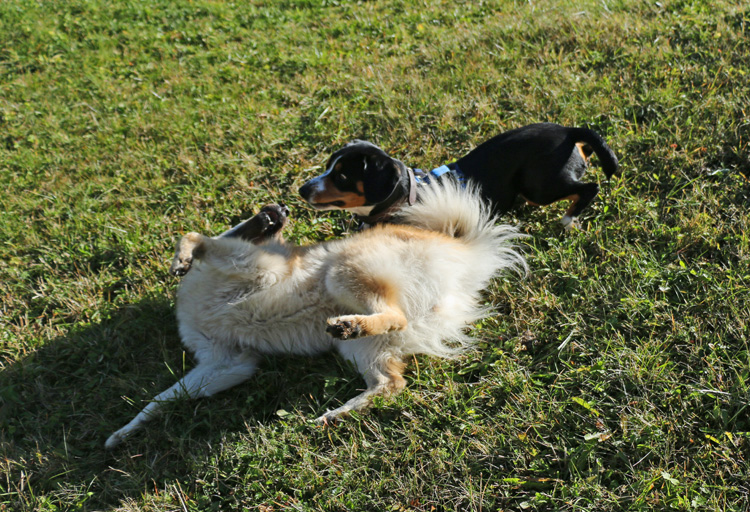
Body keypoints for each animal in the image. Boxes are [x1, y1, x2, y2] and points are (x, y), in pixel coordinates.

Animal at [106, 183, 524, 448]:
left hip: (343, 271)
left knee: (394, 315)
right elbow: (161, 398)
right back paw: (339, 410)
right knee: (390, 382)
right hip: (363, 348)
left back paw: (353, 326)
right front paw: (127, 430)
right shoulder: (227, 362)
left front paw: (181, 258)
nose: (282, 207)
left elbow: (195, 236)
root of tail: (464, 255)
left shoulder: (253, 268)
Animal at [300, 123, 624, 229]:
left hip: (538, 186)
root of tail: (569, 132)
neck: (405, 200)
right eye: (328, 166)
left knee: (590, 187)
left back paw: (569, 220)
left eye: (342, 177)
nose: (302, 190)